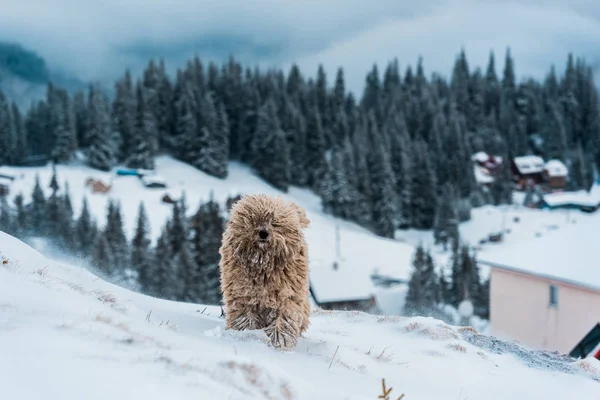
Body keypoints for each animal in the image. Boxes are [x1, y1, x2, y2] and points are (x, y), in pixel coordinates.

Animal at [219, 195, 310, 350]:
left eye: (274, 223)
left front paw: (279, 340)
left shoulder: (287, 295)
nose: (263, 233)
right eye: (254, 220)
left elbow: (283, 319)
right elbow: (246, 316)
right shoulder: (243, 295)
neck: (263, 264)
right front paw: (247, 333)